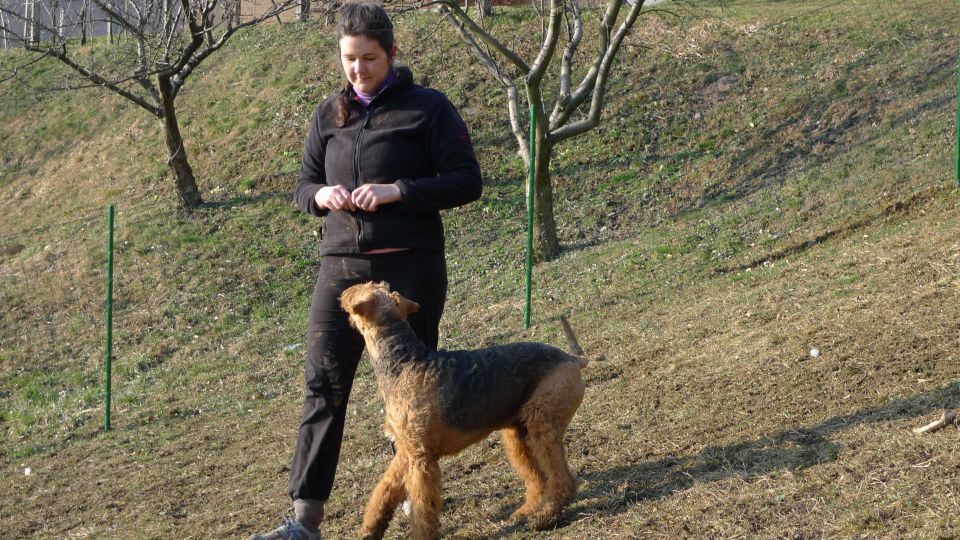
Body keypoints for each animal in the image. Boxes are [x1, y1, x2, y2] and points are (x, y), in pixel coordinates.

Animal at [342, 282, 588, 540]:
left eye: (365, 286)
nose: (344, 292)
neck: (405, 361)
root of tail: (572, 358)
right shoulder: (406, 451)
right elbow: (385, 490)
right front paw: (370, 530)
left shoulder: (421, 459)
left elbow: (423, 509)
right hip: (518, 435)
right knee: (537, 479)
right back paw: (526, 511)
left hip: (542, 426)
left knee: (562, 480)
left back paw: (545, 517)